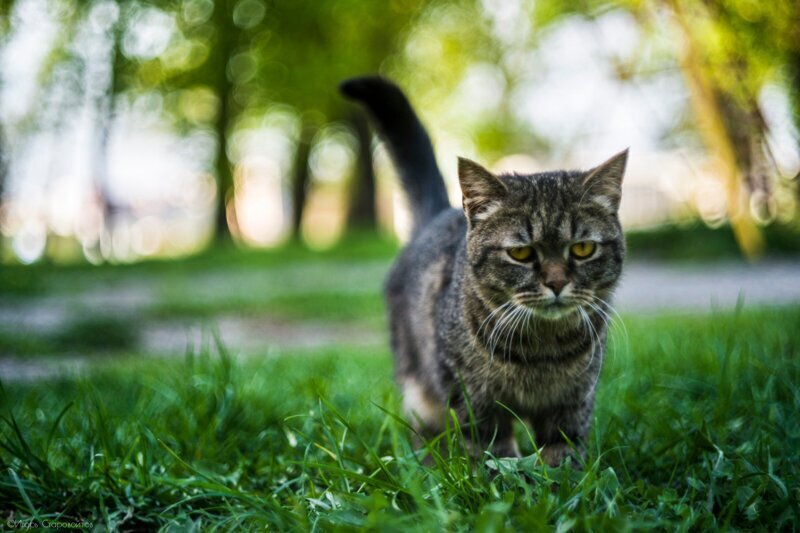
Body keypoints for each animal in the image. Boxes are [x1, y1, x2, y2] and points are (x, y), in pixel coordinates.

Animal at [340, 76, 628, 466]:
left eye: (582, 249)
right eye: (521, 252)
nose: (556, 283)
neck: (541, 353)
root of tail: (438, 215)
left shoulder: (574, 400)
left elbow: (563, 448)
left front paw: (564, 475)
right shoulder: (471, 395)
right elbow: (491, 447)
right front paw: (496, 473)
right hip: (419, 388)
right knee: (423, 429)